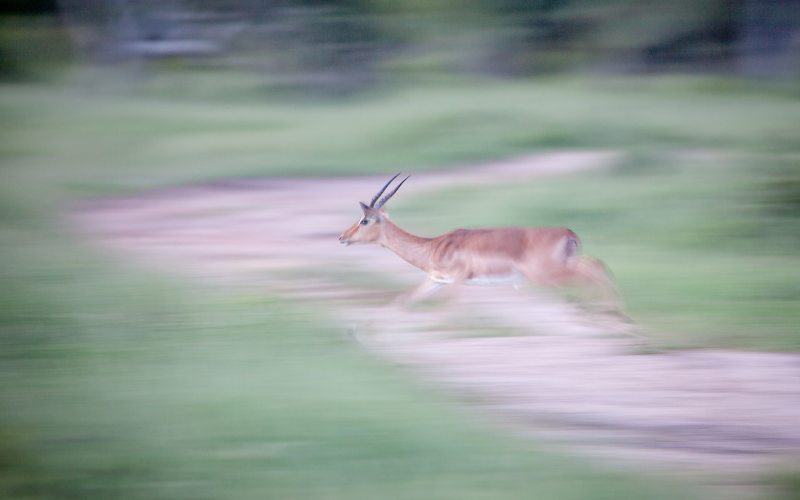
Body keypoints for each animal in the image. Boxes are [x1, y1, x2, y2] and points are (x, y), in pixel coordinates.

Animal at [339, 174, 625, 312]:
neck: (433, 246)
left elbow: (449, 311)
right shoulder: (436, 280)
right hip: (566, 263)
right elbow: (404, 299)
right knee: (596, 265)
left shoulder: (456, 280)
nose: (342, 237)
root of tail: (567, 232)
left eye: (364, 220)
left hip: (547, 273)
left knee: (592, 273)